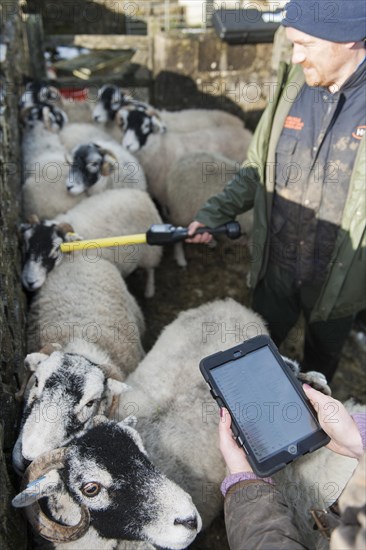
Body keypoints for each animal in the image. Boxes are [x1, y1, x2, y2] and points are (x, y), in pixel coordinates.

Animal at [20, 191, 162, 302]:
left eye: (55, 251)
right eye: (26, 247)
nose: (30, 281)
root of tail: (143, 195)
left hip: (151, 251)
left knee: (151, 269)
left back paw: (149, 290)